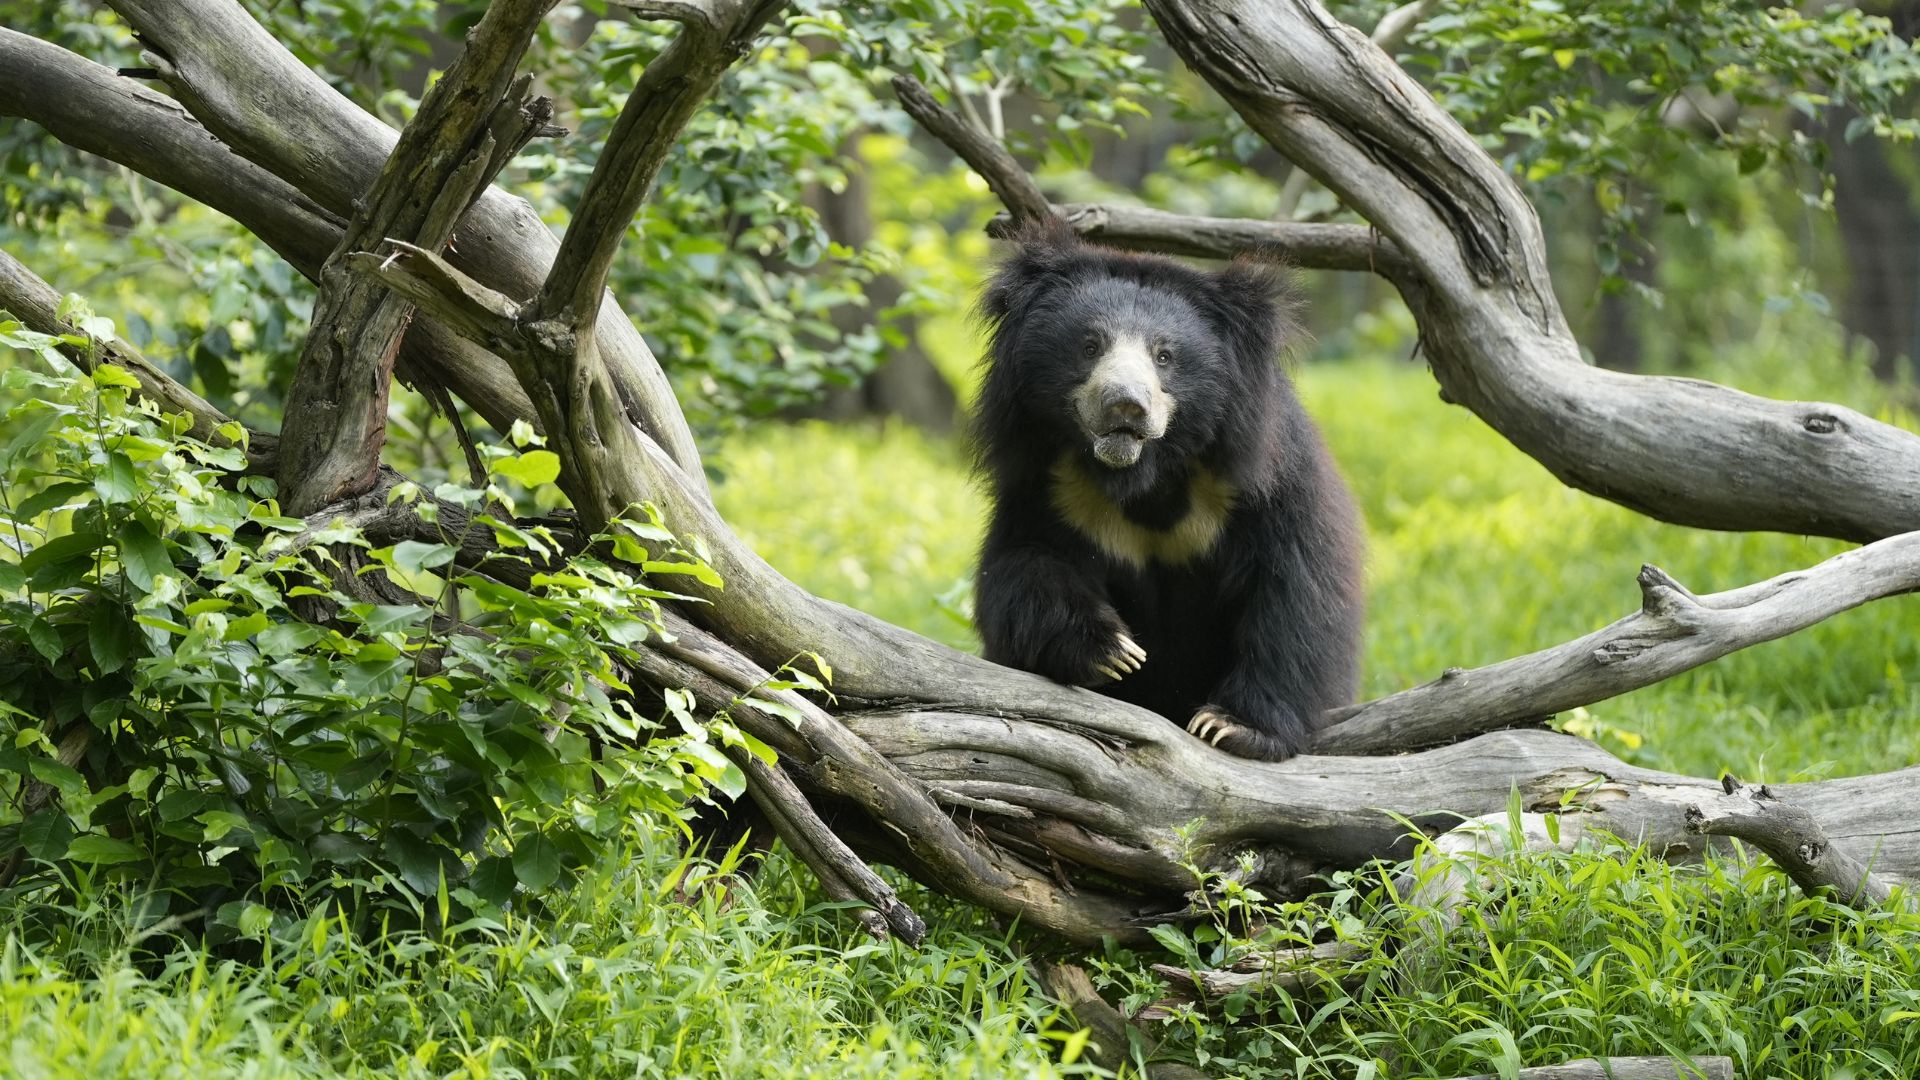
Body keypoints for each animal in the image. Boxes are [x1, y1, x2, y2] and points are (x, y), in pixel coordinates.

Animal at [970, 221, 1365, 762]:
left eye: (1165, 356)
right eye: (1090, 345)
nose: (1125, 406)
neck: (1145, 475)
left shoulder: (1267, 479)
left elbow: (1295, 589)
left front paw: (1232, 726)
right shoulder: (1050, 486)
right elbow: (1024, 565)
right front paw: (1113, 650)